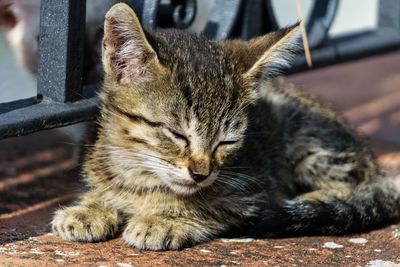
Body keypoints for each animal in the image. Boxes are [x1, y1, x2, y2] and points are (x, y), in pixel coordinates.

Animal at [51, 3, 398, 251]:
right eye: (177, 134)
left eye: (226, 142)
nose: (201, 173)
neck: (141, 175)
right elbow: (101, 188)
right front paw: (90, 207)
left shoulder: (253, 193)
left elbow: (210, 208)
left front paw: (165, 220)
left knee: (358, 187)